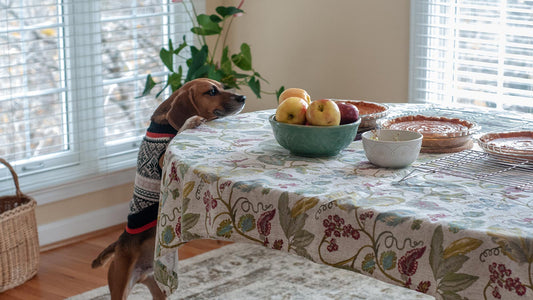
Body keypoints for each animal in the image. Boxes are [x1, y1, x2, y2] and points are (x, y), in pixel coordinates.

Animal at [91, 78, 245, 298]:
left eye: (222, 87)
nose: (243, 97)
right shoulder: (164, 159)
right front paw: (190, 121)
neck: (165, 124)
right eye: (212, 92)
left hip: (160, 290)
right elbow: (181, 131)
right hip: (120, 283)